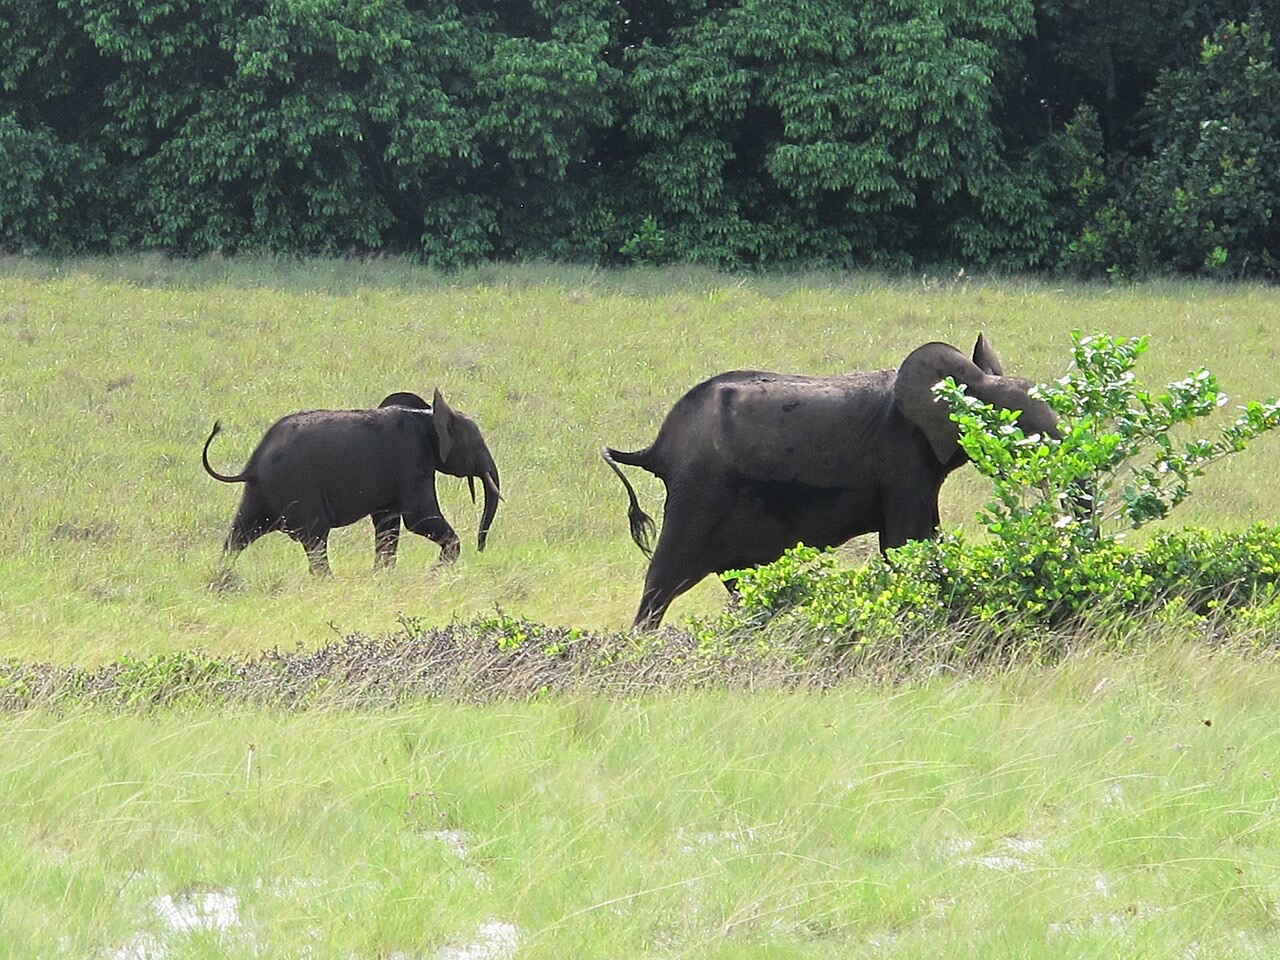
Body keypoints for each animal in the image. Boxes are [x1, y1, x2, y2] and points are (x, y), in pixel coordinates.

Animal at [202, 389, 501, 574]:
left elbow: (388, 523)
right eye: (477, 443)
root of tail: (252, 464)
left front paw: (382, 575)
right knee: (315, 537)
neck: (427, 415)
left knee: (239, 533)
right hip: (296, 486)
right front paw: (435, 571)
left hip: (261, 491)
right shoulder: (412, 461)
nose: (481, 549)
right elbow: (418, 518)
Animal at [602, 335, 1058, 629]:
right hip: (698, 491)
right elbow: (905, 542)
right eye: (1017, 423)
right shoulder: (903, 456)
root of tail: (656, 448)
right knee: (663, 580)